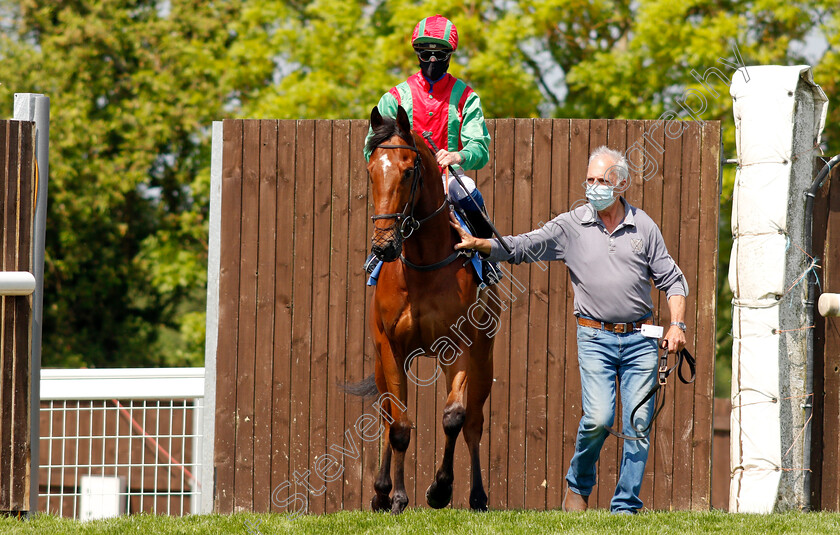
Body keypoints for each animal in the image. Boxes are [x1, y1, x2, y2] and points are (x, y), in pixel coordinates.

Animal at [346, 105, 498, 516]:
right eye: (372, 170)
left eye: (408, 170)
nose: (383, 246)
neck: (424, 265)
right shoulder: (390, 349)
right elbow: (399, 424)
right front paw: (395, 496)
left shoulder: (459, 347)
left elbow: (454, 417)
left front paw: (440, 489)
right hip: (385, 362)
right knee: (387, 416)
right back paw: (383, 491)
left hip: (483, 356)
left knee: (474, 421)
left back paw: (477, 495)